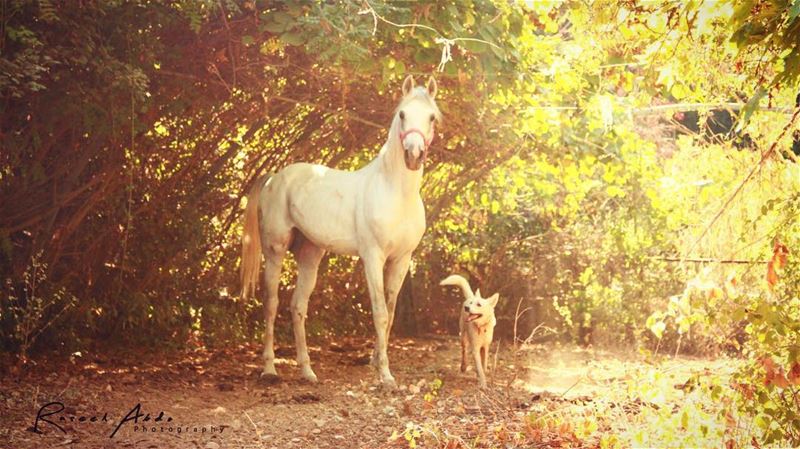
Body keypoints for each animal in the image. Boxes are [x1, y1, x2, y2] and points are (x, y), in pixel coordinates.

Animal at [241, 75, 440, 386]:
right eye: (402, 114)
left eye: (431, 117)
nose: (414, 154)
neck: (395, 192)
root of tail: (274, 177)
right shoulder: (373, 258)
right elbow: (380, 313)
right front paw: (385, 375)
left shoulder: (402, 259)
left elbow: (391, 313)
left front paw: (376, 362)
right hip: (274, 251)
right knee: (271, 304)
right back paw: (270, 369)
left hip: (310, 255)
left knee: (298, 306)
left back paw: (307, 372)